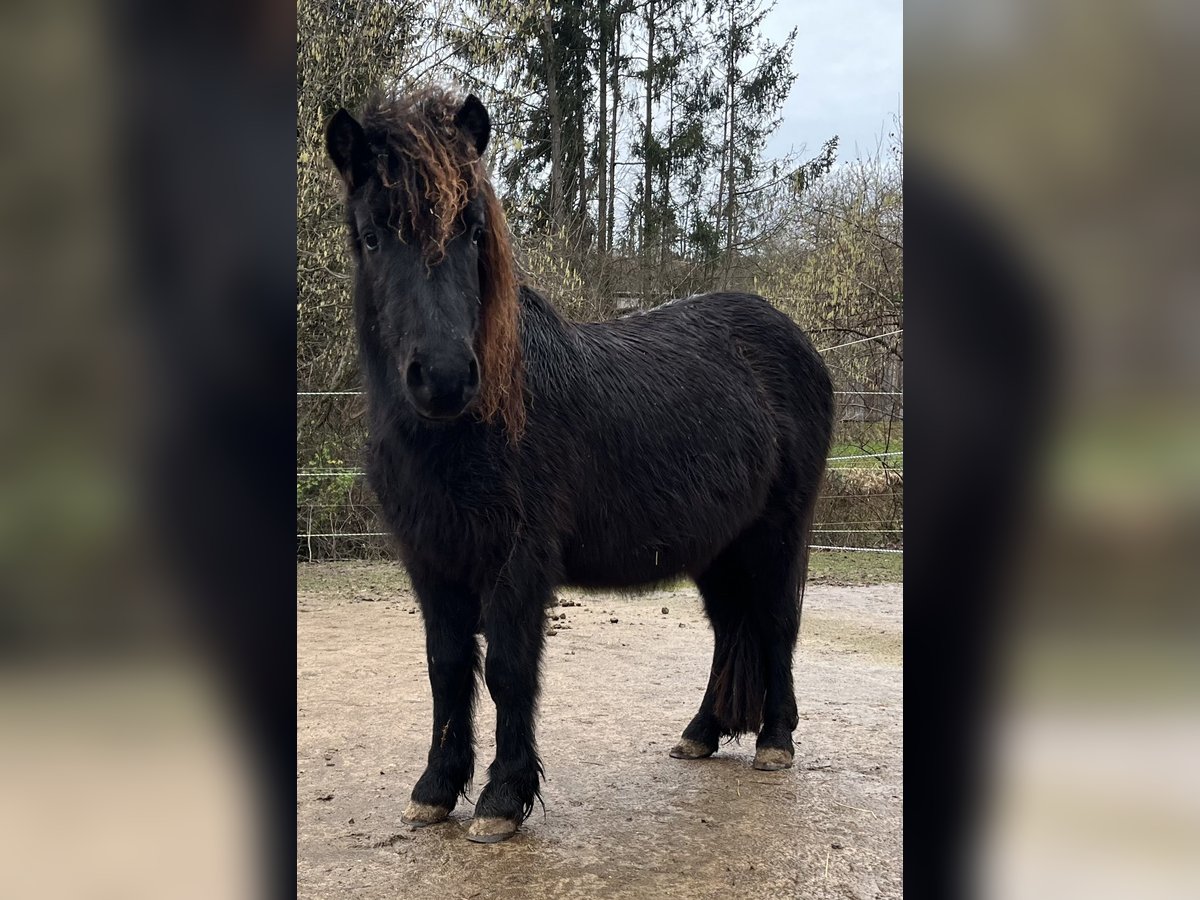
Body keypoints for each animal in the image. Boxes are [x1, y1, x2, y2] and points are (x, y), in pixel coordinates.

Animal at [328, 86, 835, 844]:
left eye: (472, 231)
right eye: (371, 236)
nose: (444, 377)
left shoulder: (517, 559)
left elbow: (509, 671)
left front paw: (501, 800)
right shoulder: (431, 560)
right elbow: (446, 670)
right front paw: (435, 791)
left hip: (776, 535)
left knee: (774, 623)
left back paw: (774, 742)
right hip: (718, 547)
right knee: (729, 630)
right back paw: (701, 733)